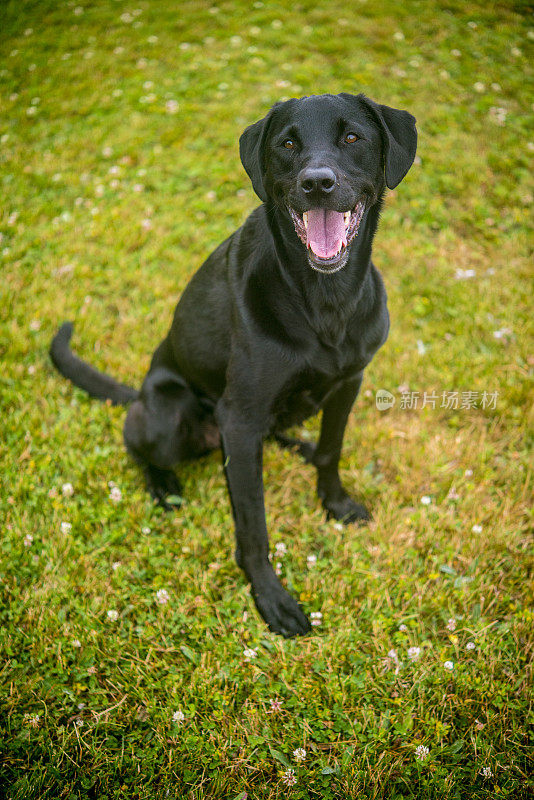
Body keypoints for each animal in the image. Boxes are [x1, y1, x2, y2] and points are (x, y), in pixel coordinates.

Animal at [50, 92, 418, 636]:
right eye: (287, 144)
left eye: (352, 137)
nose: (317, 183)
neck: (325, 299)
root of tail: (141, 391)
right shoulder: (240, 419)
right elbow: (252, 522)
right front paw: (270, 597)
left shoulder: (349, 383)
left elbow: (331, 452)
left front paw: (334, 503)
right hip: (169, 415)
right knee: (139, 442)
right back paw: (163, 485)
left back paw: (297, 444)